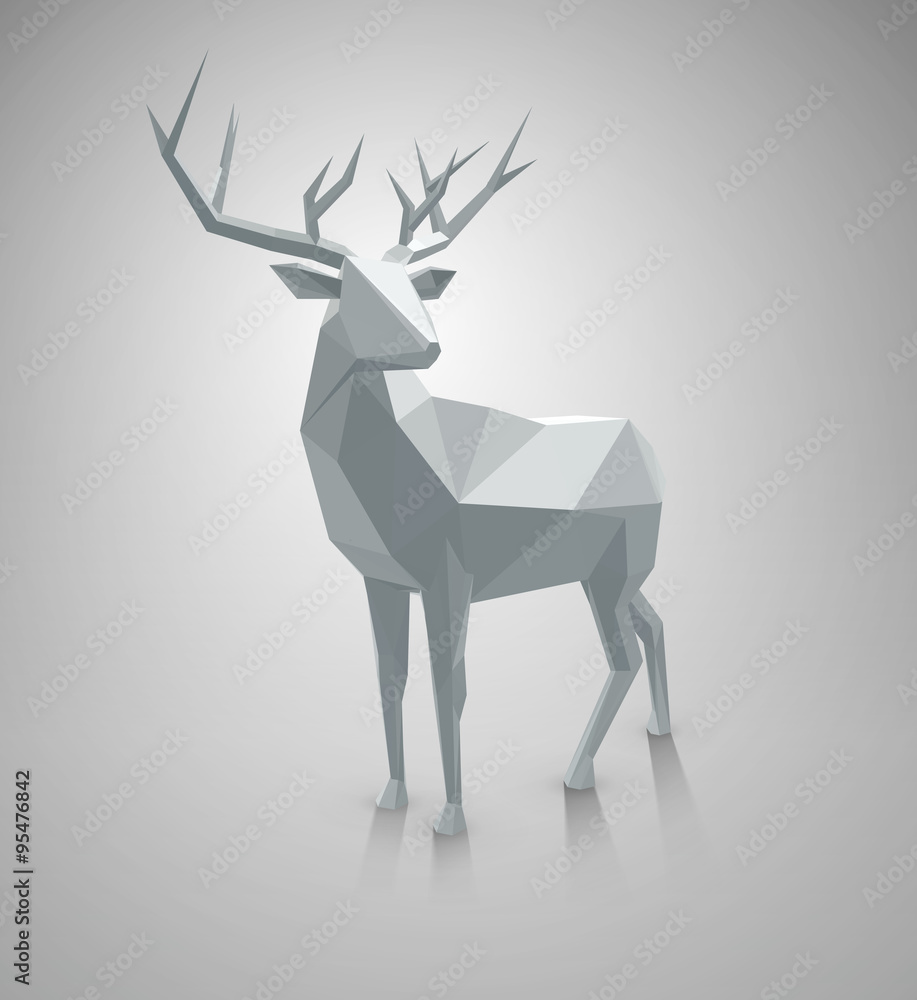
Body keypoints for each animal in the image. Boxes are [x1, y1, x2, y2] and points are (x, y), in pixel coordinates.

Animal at [149, 58, 670, 835]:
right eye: (353, 289)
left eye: (413, 286)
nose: (430, 344)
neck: (385, 478)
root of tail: (656, 455)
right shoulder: (379, 578)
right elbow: (388, 680)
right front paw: (392, 795)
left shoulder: (449, 572)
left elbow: (448, 687)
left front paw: (450, 817)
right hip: (621, 570)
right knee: (655, 626)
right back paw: (658, 731)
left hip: (612, 571)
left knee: (621, 656)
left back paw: (577, 772)